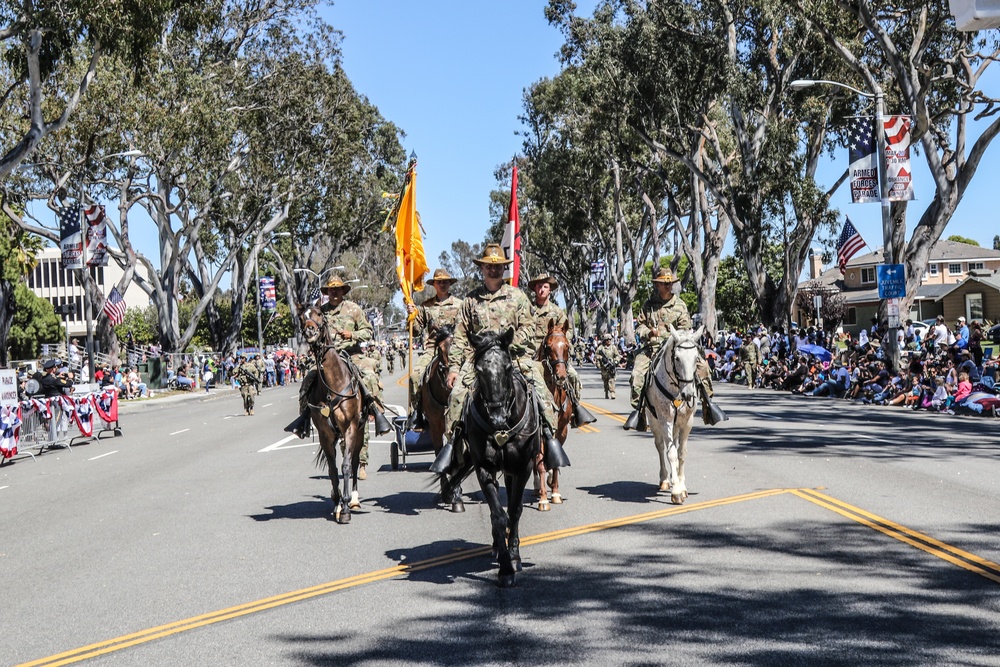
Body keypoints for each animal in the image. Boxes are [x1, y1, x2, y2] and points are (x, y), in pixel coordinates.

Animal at [300, 306, 372, 524]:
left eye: (318, 314)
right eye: (302, 317)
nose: (309, 330)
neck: (332, 385)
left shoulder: (349, 428)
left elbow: (346, 466)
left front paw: (346, 507)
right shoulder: (325, 434)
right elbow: (332, 470)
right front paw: (337, 502)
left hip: (359, 432)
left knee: (355, 462)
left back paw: (354, 499)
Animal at [444, 328, 544, 588]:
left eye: (507, 367)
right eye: (480, 370)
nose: (497, 418)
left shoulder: (523, 467)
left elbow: (515, 510)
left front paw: (514, 557)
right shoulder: (484, 469)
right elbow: (499, 515)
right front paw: (505, 568)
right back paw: (498, 548)